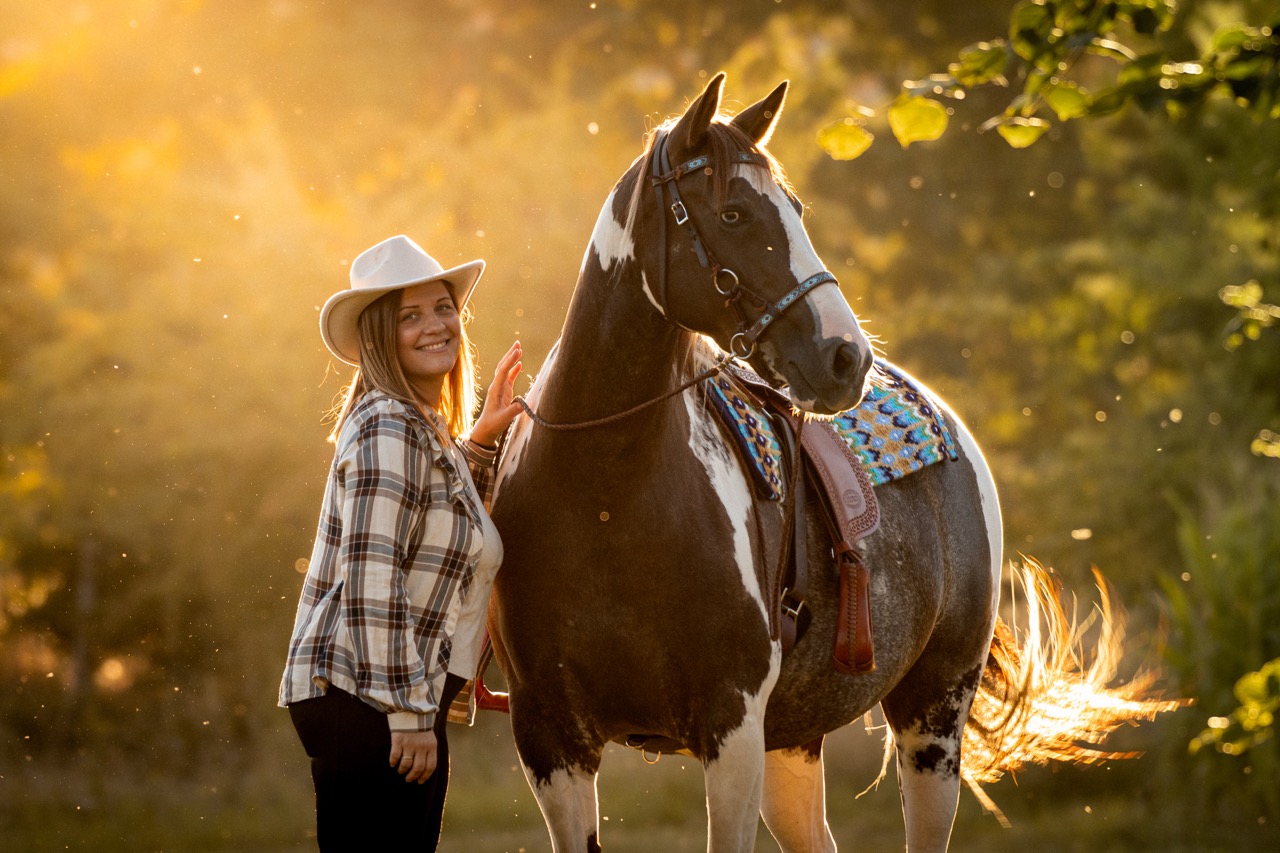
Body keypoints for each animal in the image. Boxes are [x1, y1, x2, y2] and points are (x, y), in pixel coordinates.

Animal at [487, 74, 1165, 852]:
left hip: (932, 717)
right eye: (734, 212)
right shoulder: (551, 742)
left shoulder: (731, 730)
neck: (603, 495)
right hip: (796, 736)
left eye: (797, 209)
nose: (846, 357)